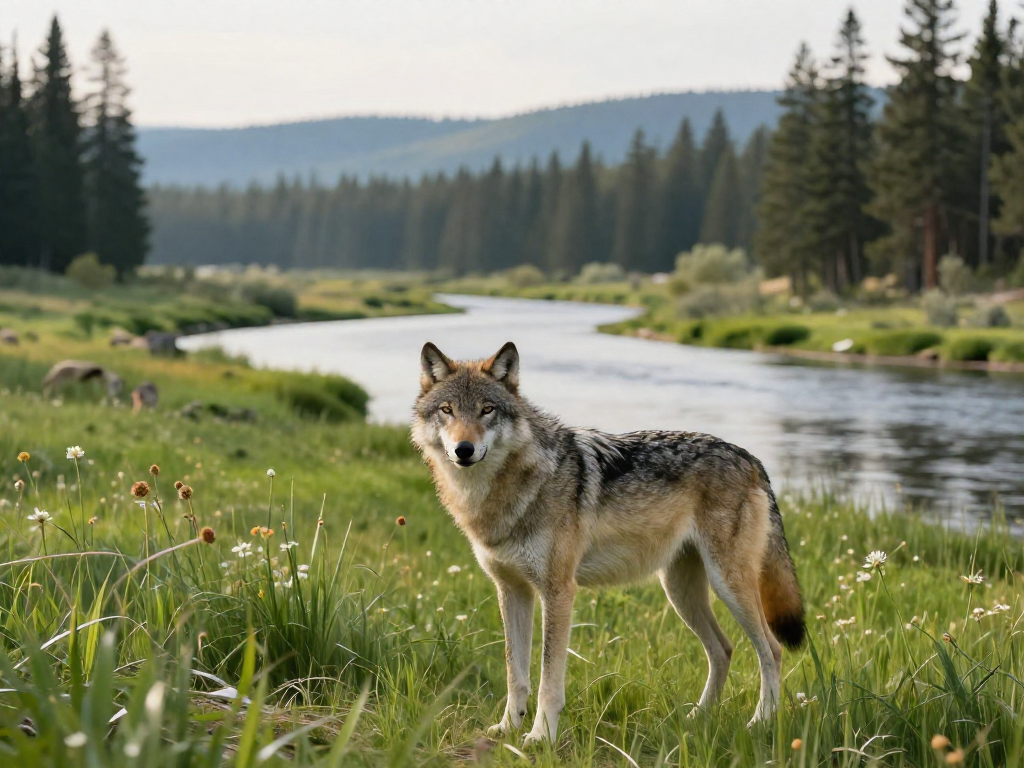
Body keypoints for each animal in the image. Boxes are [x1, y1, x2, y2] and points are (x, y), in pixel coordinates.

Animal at [411, 341, 805, 746]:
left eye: (486, 410)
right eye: (447, 410)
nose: (464, 449)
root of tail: (750, 458)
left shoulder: (558, 591)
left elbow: (548, 679)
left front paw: (540, 737)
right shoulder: (511, 589)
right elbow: (514, 673)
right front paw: (507, 728)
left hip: (728, 586)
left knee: (771, 650)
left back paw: (761, 722)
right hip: (680, 591)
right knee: (723, 649)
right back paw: (697, 718)